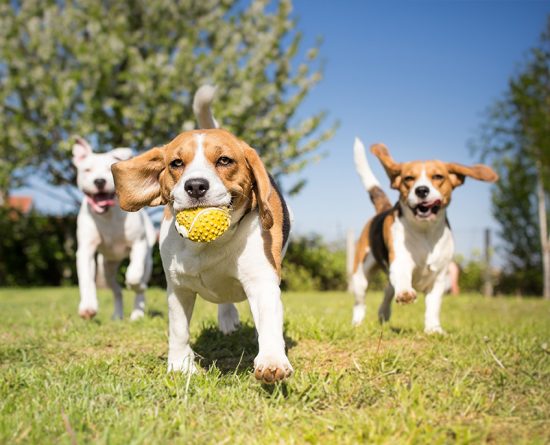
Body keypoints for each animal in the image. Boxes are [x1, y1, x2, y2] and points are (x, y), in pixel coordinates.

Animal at [72, 138, 156, 320]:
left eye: (108, 170)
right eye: (87, 170)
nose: (99, 181)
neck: (107, 215)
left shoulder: (138, 244)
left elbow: (133, 276)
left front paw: (136, 284)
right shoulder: (85, 250)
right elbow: (86, 279)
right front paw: (88, 307)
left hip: (147, 261)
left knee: (139, 283)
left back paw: (137, 313)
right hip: (106, 269)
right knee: (117, 291)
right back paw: (117, 315)